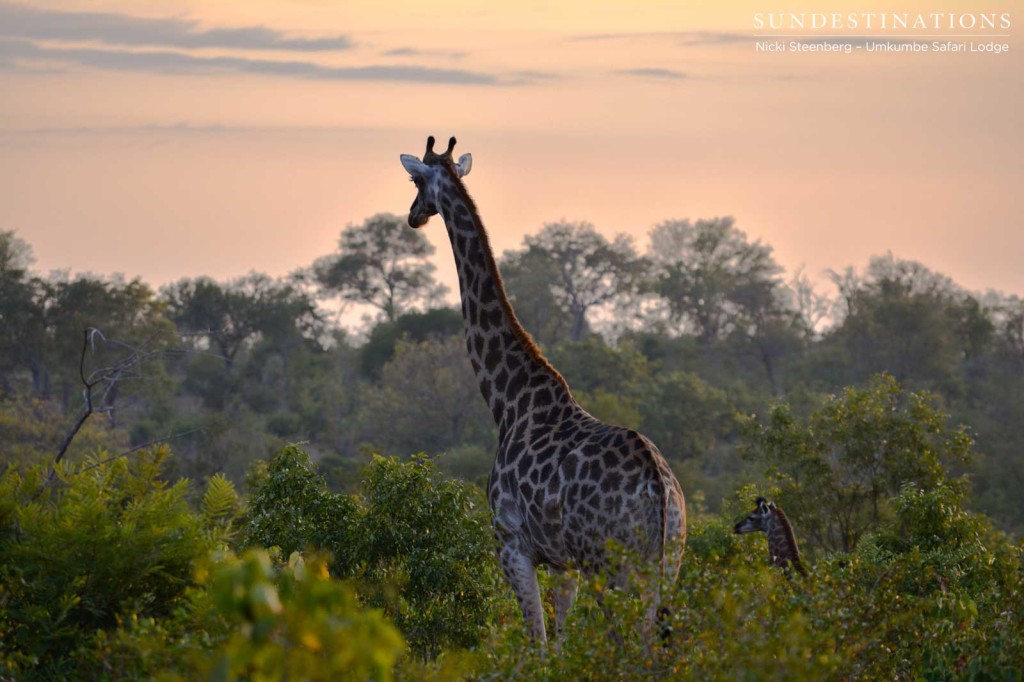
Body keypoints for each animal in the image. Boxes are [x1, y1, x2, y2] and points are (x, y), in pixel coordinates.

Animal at [399, 134, 688, 643]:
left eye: (415, 181)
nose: (413, 215)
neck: (508, 400)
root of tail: (660, 489)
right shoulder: (561, 561)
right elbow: (560, 642)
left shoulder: (511, 541)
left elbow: (537, 642)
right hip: (667, 561)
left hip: (610, 564)